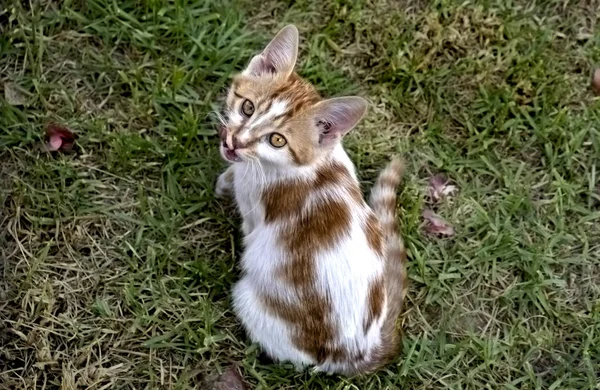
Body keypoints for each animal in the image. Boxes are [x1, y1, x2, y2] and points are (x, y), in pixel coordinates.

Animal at [216, 23, 408, 374]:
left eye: (276, 140)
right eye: (247, 107)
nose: (235, 141)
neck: (310, 162)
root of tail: (357, 354)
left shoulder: (255, 211)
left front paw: (226, 182)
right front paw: (227, 176)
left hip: (249, 301)